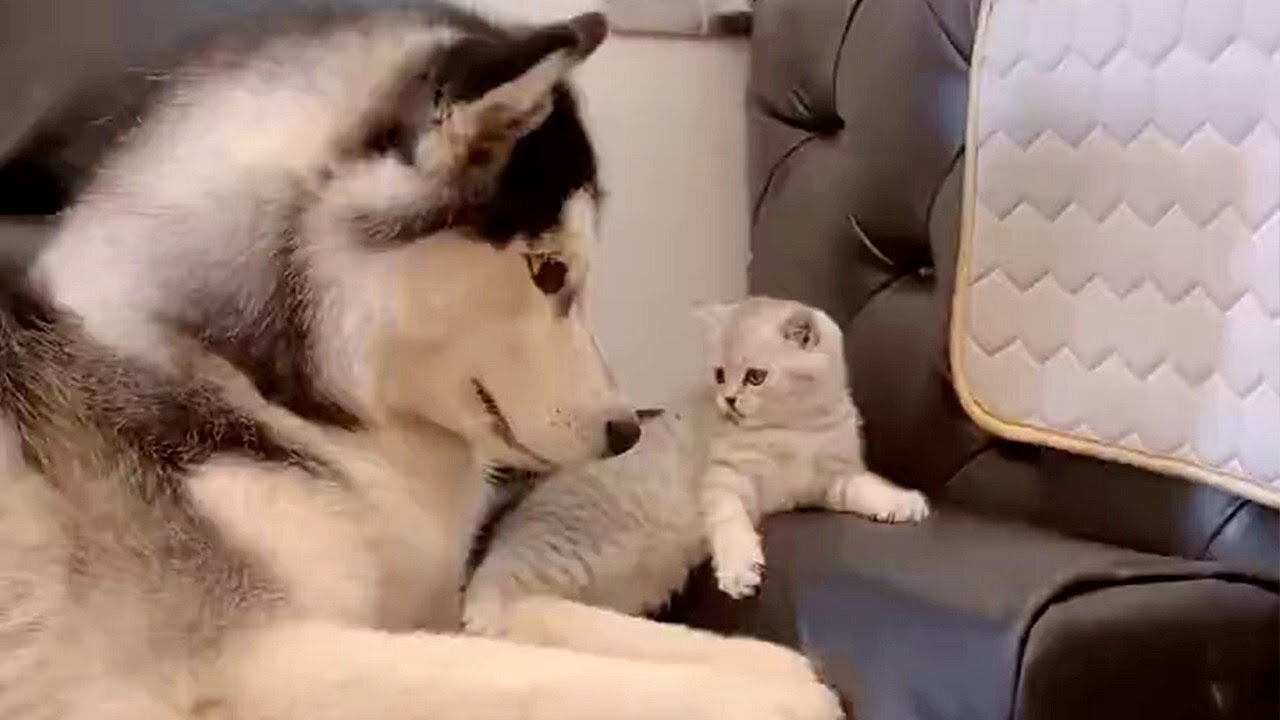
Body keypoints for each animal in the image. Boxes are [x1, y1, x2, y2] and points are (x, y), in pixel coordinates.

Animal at [0, 5, 839, 717]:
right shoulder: (257, 658)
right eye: (549, 271)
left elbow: (547, 635)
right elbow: (564, 682)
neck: (258, 388)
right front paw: (788, 696)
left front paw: (771, 662)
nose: (626, 430)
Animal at [465, 294, 926, 630]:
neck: (794, 429)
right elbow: (732, 526)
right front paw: (739, 570)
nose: (730, 400)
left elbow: (867, 487)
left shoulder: (833, 479)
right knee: (487, 582)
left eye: (755, 376)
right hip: (555, 555)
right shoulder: (726, 483)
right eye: (720, 374)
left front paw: (901, 503)